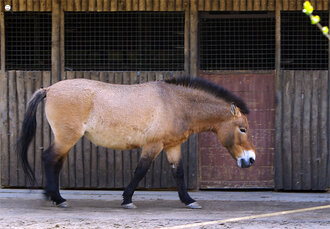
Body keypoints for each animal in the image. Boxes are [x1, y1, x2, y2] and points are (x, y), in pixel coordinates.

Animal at [16, 77, 256, 209]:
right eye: (242, 129)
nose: (251, 159)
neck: (175, 103)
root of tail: (49, 89)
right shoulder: (153, 145)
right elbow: (141, 170)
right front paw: (127, 199)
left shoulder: (172, 146)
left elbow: (178, 172)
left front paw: (188, 200)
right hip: (67, 137)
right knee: (49, 158)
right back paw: (57, 198)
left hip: (66, 138)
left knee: (55, 163)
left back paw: (52, 196)